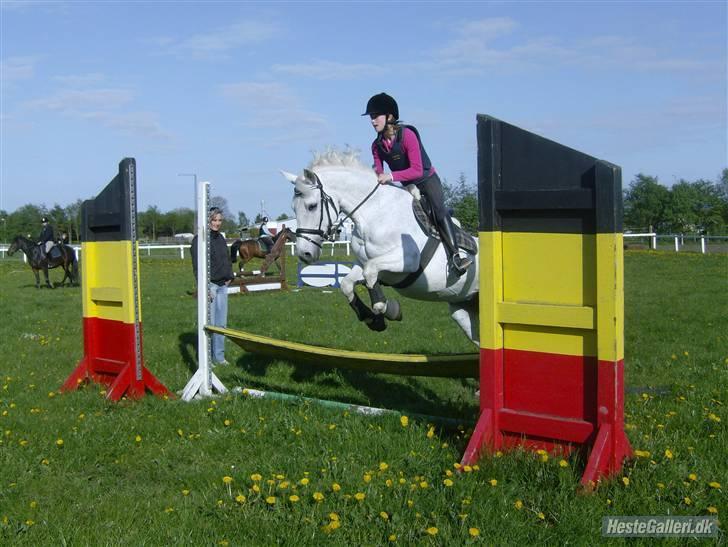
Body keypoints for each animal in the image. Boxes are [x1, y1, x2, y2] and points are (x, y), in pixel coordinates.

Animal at [282, 150, 480, 344]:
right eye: (294, 208)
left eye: (312, 206)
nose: (304, 253)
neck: (375, 214)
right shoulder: (362, 263)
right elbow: (347, 283)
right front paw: (372, 319)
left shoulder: (407, 260)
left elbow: (371, 274)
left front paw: (389, 309)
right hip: (462, 312)